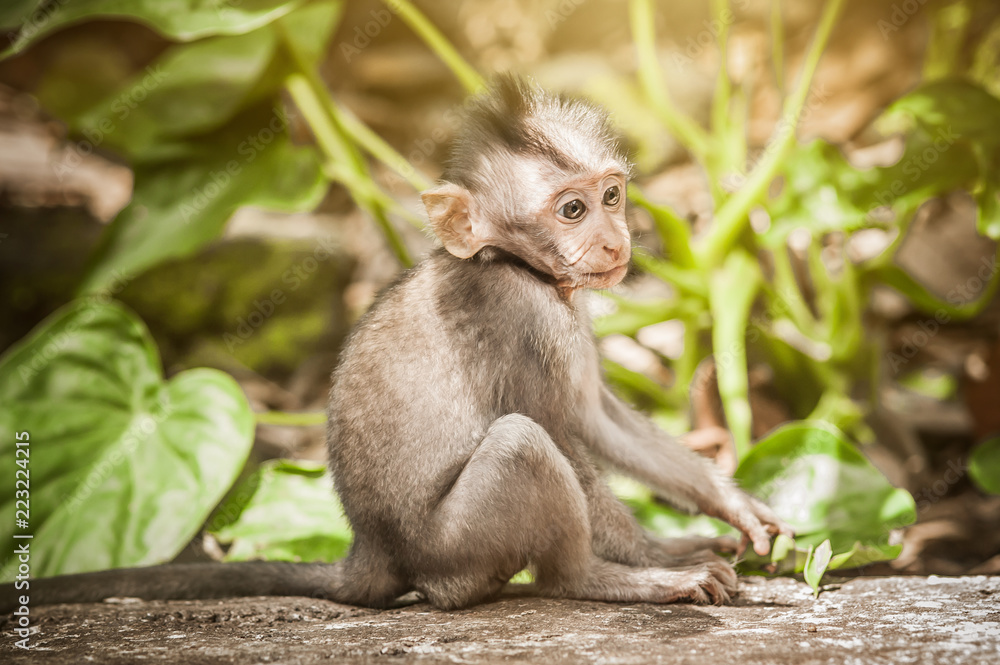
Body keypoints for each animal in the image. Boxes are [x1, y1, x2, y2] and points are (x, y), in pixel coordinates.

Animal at [3, 74, 792, 612]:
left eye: (611, 195)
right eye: (571, 210)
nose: (614, 241)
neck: (514, 265)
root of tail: (373, 549)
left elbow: (598, 419)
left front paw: (727, 507)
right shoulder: (519, 317)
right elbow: (564, 436)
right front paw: (657, 558)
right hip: (455, 547)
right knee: (522, 444)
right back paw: (595, 579)